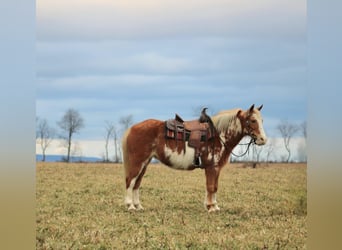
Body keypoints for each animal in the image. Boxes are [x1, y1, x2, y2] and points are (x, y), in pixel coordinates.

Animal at [121, 104, 268, 212]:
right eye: (253, 120)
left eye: (262, 120)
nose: (263, 140)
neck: (217, 135)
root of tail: (133, 128)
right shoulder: (211, 167)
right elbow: (211, 187)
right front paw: (211, 208)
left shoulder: (216, 168)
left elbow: (215, 187)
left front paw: (214, 206)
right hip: (138, 162)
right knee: (130, 181)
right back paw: (130, 206)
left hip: (145, 163)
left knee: (137, 183)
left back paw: (138, 206)